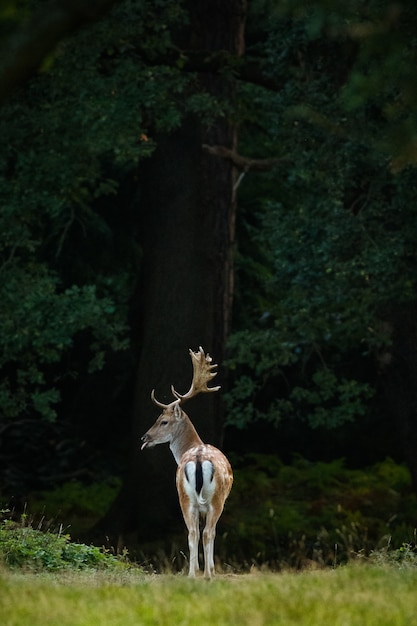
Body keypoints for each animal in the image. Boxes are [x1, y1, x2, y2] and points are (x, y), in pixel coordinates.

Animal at [139, 344, 231, 576]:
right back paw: (207, 574)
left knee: (192, 532)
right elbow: (212, 532)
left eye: (163, 421)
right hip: (213, 499)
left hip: (186, 496)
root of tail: (197, 458)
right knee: (207, 532)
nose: (144, 438)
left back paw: (192, 573)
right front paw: (210, 568)